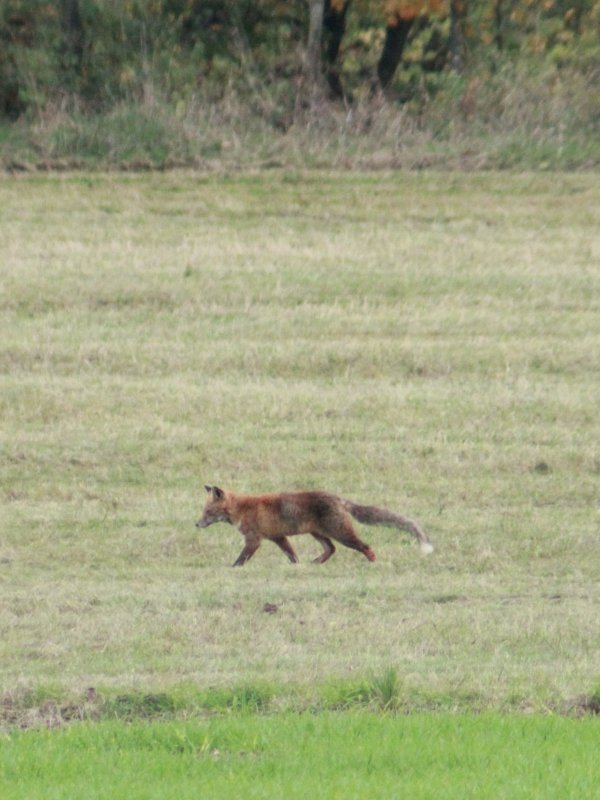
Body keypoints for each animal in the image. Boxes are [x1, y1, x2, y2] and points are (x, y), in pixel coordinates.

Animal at [196, 485, 434, 566]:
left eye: (208, 512)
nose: (196, 523)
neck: (242, 508)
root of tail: (339, 499)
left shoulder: (254, 539)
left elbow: (240, 560)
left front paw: (232, 569)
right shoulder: (278, 537)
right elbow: (292, 555)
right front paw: (297, 567)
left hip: (341, 534)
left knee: (365, 546)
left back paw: (372, 562)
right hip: (318, 533)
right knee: (331, 549)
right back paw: (316, 563)